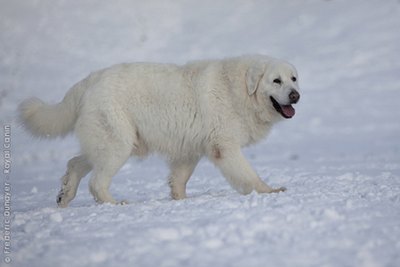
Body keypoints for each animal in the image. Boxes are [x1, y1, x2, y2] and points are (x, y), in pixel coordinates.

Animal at [18, 55, 300, 208]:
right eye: (276, 81)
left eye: (293, 78)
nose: (295, 95)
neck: (239, 89)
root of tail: (89, 80)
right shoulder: (225, 147)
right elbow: (249, 176)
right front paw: (270, 191)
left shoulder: (190, 149)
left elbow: (179, 179)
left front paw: (180, 200)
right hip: (118, 144)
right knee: (96, 182)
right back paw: (114, 203)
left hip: (105, 142)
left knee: (75, 163)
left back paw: (65, 195)